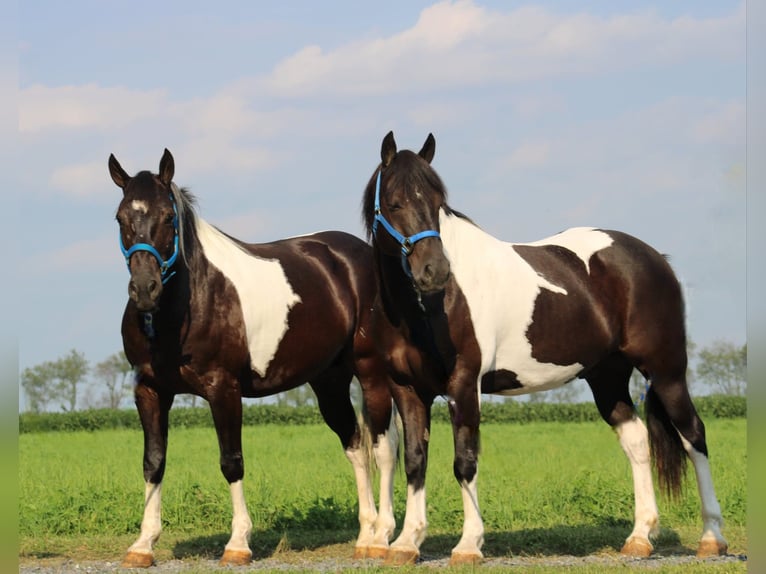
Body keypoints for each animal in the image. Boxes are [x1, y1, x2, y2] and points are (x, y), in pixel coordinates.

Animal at [110, 148, 400, 568]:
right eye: (121, 218)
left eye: (168, 217)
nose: (145, 290)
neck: (193, 298)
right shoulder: (149, 390)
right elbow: (154, 462)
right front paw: (143, 544)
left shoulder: (224, 389)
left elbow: (231, 461)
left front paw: (238, 543)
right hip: (329, 382)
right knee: (355, 445)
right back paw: (364, 535)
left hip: (371, 373)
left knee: (382, 447)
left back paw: (382, 537)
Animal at [362, 132, 732, 568]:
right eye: (394, 202)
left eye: (437, 202)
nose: (434, 272)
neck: (425, 309)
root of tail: (656, 259)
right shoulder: (407, 389)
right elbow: (415, 461)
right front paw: (406, 542)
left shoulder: (464, 385)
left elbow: (464, 462)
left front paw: (469, 545)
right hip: (607, 377)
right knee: (637, 440)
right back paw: (640, 538)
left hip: (666, 370)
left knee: (693, 435)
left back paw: (712, 538)